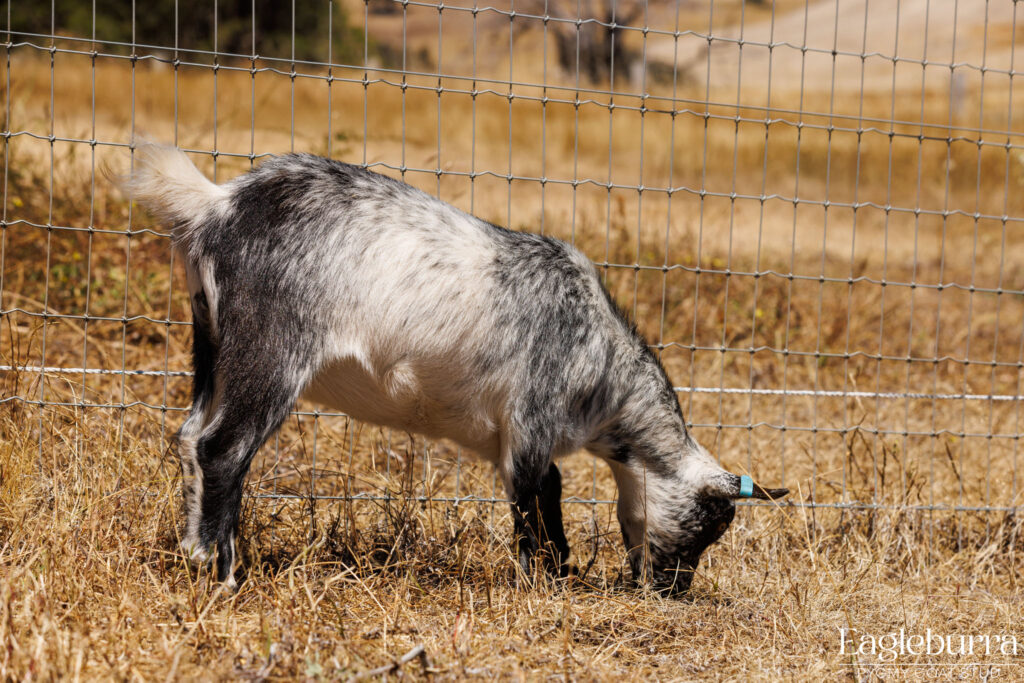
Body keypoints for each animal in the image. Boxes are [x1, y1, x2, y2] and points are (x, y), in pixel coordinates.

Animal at [121, 144, 790, 593]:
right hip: (271, 353)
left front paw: (561, 573)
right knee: (223, 449)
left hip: (210, 346)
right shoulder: (531, 420)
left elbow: (548, 493)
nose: (672, 590)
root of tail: (218, 206)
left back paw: (191, 550)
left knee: (189, 437)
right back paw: (223, 571)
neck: (604, 372)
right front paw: (544, 584)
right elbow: (534, 503)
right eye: (710, 523)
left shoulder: (520, 438)